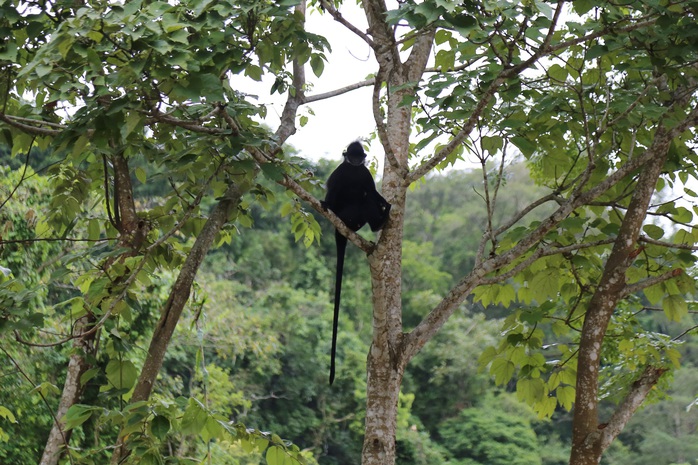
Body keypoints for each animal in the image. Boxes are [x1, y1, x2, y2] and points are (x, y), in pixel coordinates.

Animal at [322, 141, 388, 384]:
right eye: (352, 155)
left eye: (360, 156)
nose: (357, 160)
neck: (352, 170)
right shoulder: (341, 172)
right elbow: (332, 192)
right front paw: (324, 203)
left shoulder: (364, 172)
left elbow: (373, 191)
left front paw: (384, 202)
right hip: (349, 216)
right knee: (362, 200)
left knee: (367, 196)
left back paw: (380, 220)